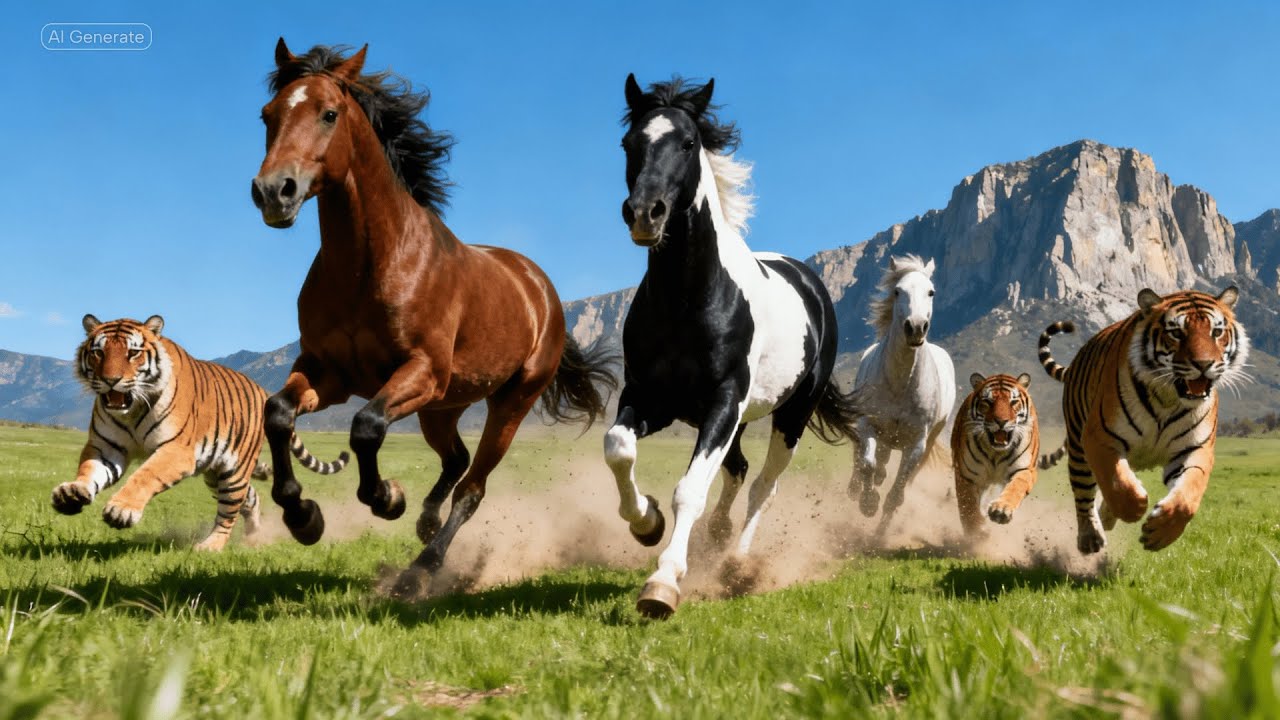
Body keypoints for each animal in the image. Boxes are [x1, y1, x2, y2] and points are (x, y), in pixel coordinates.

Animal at [250, 40, 615, 591]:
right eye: (267, 115)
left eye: (329, 113)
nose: (274, 191)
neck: (369, 266)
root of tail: (541, 289)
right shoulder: (328, 372)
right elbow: (277, 412)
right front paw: (302, 515)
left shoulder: (420, 371)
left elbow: (366, 426)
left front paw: (386, 498)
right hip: (442, 407)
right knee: (457, 459)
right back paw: (424, 522)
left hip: (507, 403)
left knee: (472, 486)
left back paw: (420, 569)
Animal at [605, 74, 860, 618]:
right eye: (628, 143)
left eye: (688, 142)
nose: (645, 214)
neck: (688, 298)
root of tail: (808, 281)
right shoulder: (651, 399)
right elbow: (618, 448)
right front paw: (647, 523)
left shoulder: (723, 401)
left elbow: (689, 491)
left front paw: (663, 582)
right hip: (735, 420)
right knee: (739, 470)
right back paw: (716, 539)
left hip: (790, 415)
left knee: (764, 485)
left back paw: (738, 563)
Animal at [847, 255, 956, 535]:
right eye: (897, 291)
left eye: (931, 291)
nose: (916, 327)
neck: (901, 383)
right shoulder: (868, 424)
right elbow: (867, 464)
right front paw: (868, 503)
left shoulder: (916, 443)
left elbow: (897, 494)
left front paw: (880, 533)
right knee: (867, 460)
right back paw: (858, 488)